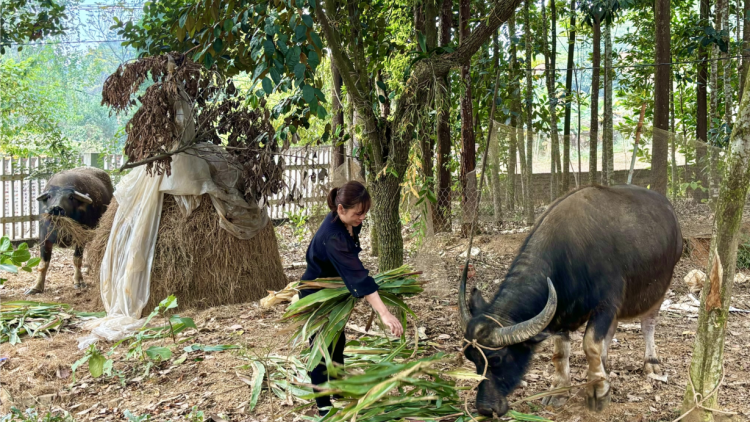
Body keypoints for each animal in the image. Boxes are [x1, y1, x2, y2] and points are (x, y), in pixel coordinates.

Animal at [25, 166, 114, 296]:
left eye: (70, 197)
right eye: (50, 196)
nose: (56, 208)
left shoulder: (80, 238)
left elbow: (77, 259)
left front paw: (79, 281)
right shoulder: (44, 238)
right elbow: (43, 263)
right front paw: (36, 287)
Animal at [462, 185, 684, 416]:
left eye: (496, 359)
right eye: (470, 357)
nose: (485, 408)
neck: (570, 258)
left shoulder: (605, 305)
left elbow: (590, 345)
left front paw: (599, 392)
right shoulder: (559, 315)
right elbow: (560, 354)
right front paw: (559, 391)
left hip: (660, 288)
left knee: (648, 324)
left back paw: (651, 363)